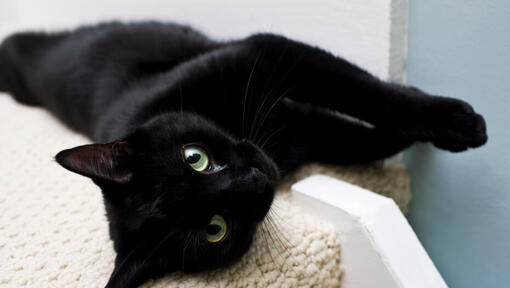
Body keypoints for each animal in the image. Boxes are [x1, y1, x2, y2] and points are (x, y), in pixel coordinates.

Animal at [0, 21, 488, 286]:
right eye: (216, 229)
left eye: (194, 157)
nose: (253, 179)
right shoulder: (302, 133)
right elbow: (353, 135)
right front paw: (414, 140)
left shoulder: (263, 52)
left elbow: (365, 91)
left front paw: (457, 123)